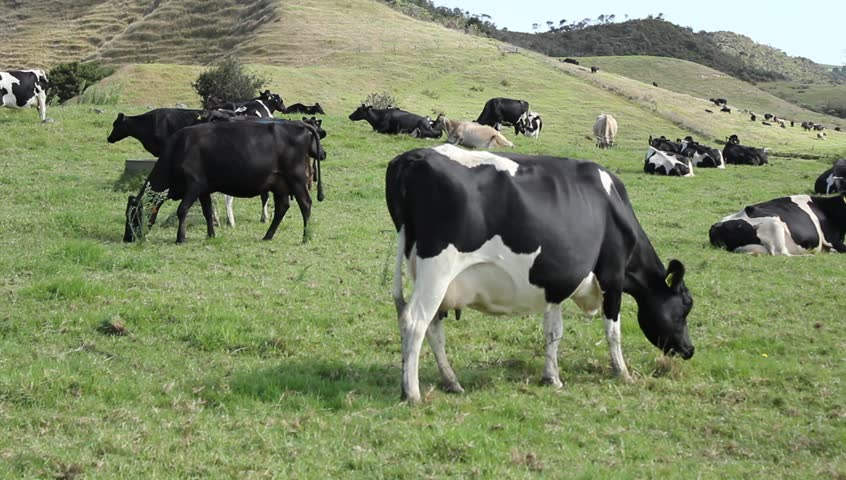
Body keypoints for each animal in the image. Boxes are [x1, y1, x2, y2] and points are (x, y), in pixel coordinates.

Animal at [123, 120, 326, 244]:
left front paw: (180, 238)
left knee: (305, 204)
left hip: (296, 179)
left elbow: (182, 210)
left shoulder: (194, 184)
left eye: (132, 215)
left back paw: (306, 237)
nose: (128, 238)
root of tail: (300, 125)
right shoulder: (203, 189)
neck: (179, 148)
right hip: (279, 184)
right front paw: (210, 235)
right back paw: (267, 236)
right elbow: (207, 212)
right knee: (282, 207)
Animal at [386, 144, 695, 403]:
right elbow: (612, 330)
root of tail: (414, 156)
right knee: (415, 321)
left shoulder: (556, 283)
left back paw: (451, 382)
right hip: (437, 268)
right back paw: (412, 393)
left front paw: (552, 377)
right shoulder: (613, 275)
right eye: (684, 309)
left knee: (433, 326)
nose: (689, 350)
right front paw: (622, 372)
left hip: (432, 276)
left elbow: (553, 331)